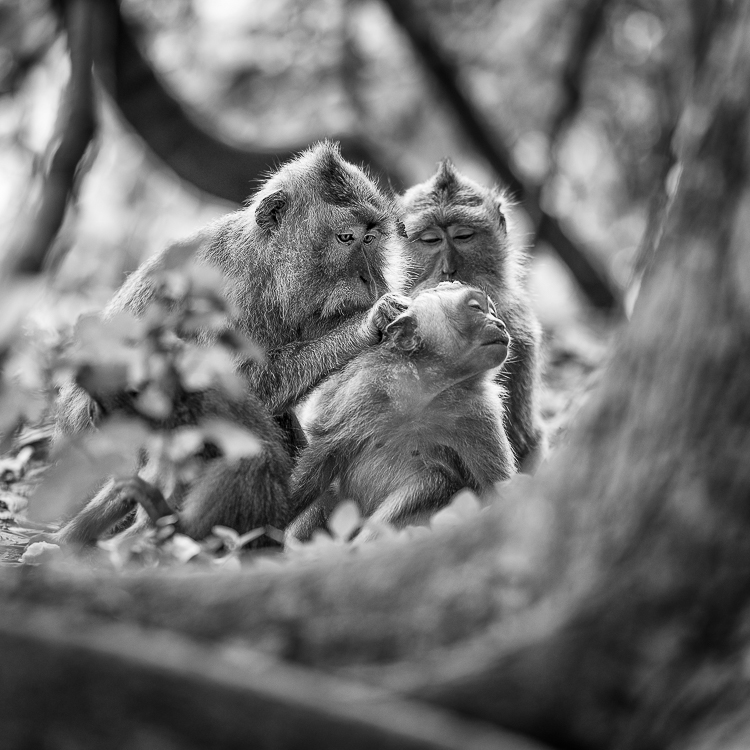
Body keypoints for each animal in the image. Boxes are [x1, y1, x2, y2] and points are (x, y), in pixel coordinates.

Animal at [52, 141, 409, 546]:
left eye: (370, 239)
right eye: (346, 238)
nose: (371, 278)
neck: (266, 267)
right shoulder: (223, 298)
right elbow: (225, 386)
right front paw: (366, 324)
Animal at [285, 282, 516, 543]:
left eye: (493, 312)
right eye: (476, 308)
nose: (500, 324)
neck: (424, 390)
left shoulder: (478, 414)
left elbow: (496, 488)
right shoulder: (362, 390)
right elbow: (324, 455)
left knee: (432, 480)